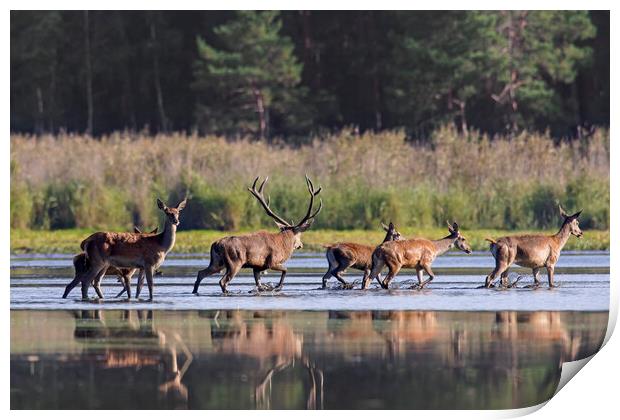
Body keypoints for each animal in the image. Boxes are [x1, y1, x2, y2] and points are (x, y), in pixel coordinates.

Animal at [191, 176, 322, 294]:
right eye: (300, 235)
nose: (301, 245)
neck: (284, 244)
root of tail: (215, 244)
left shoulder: (257, 267)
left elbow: (258, 283)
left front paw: (265, 288)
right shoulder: (272, 261)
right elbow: (285, 270)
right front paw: (277, 287)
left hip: (217, 262)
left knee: (201, 273)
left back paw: (195, 291)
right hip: (234, 262)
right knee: (222, 281)